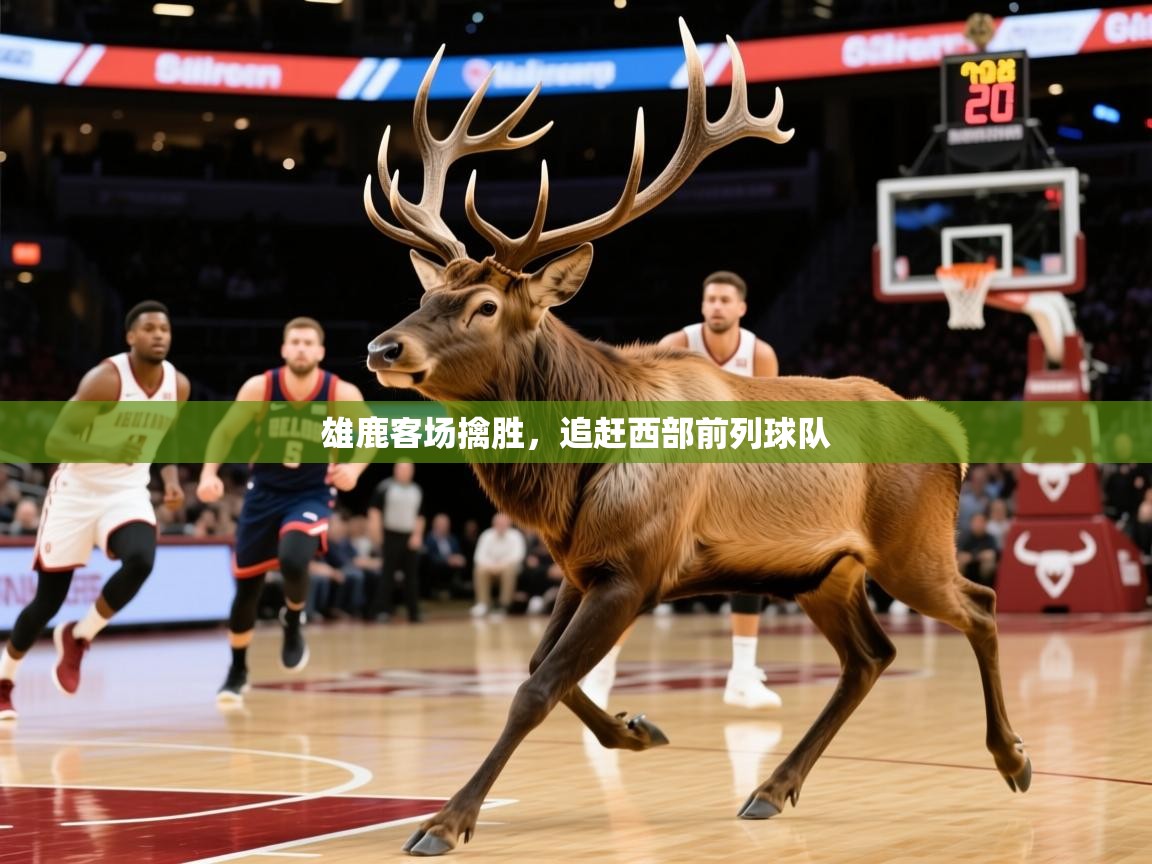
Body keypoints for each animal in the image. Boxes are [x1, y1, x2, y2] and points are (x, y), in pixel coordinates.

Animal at [362, 19, 1032, 857]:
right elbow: (545, 664)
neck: (575, 469)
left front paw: (447, 821)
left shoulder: (634, 565)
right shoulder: (583, 564)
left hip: (913, 545)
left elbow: (536, 687)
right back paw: (772, 788)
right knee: (871, 655)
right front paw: (636, 727)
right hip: (825, 571)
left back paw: (1012, 758)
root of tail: (953, 435)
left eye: (485, 305)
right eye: (426, 293)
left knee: (979, 601)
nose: (384, 346)